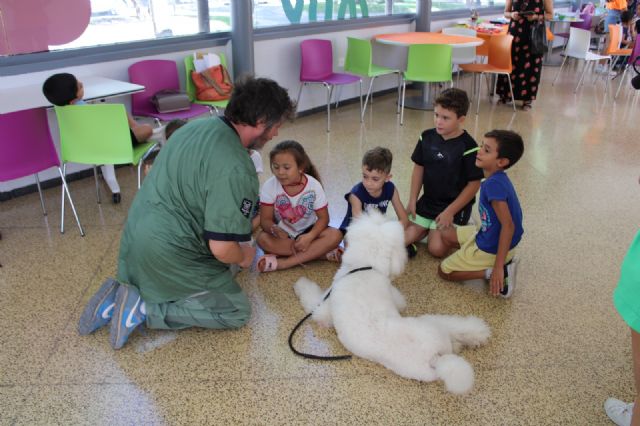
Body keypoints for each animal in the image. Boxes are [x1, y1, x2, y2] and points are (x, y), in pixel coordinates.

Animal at [294, 211, 490, 394]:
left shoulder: (323, 307)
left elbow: (311, 299)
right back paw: (472, 338)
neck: (364, 266)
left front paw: (300, 284)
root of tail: (435, 358)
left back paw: (479, 332)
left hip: (430, 322)